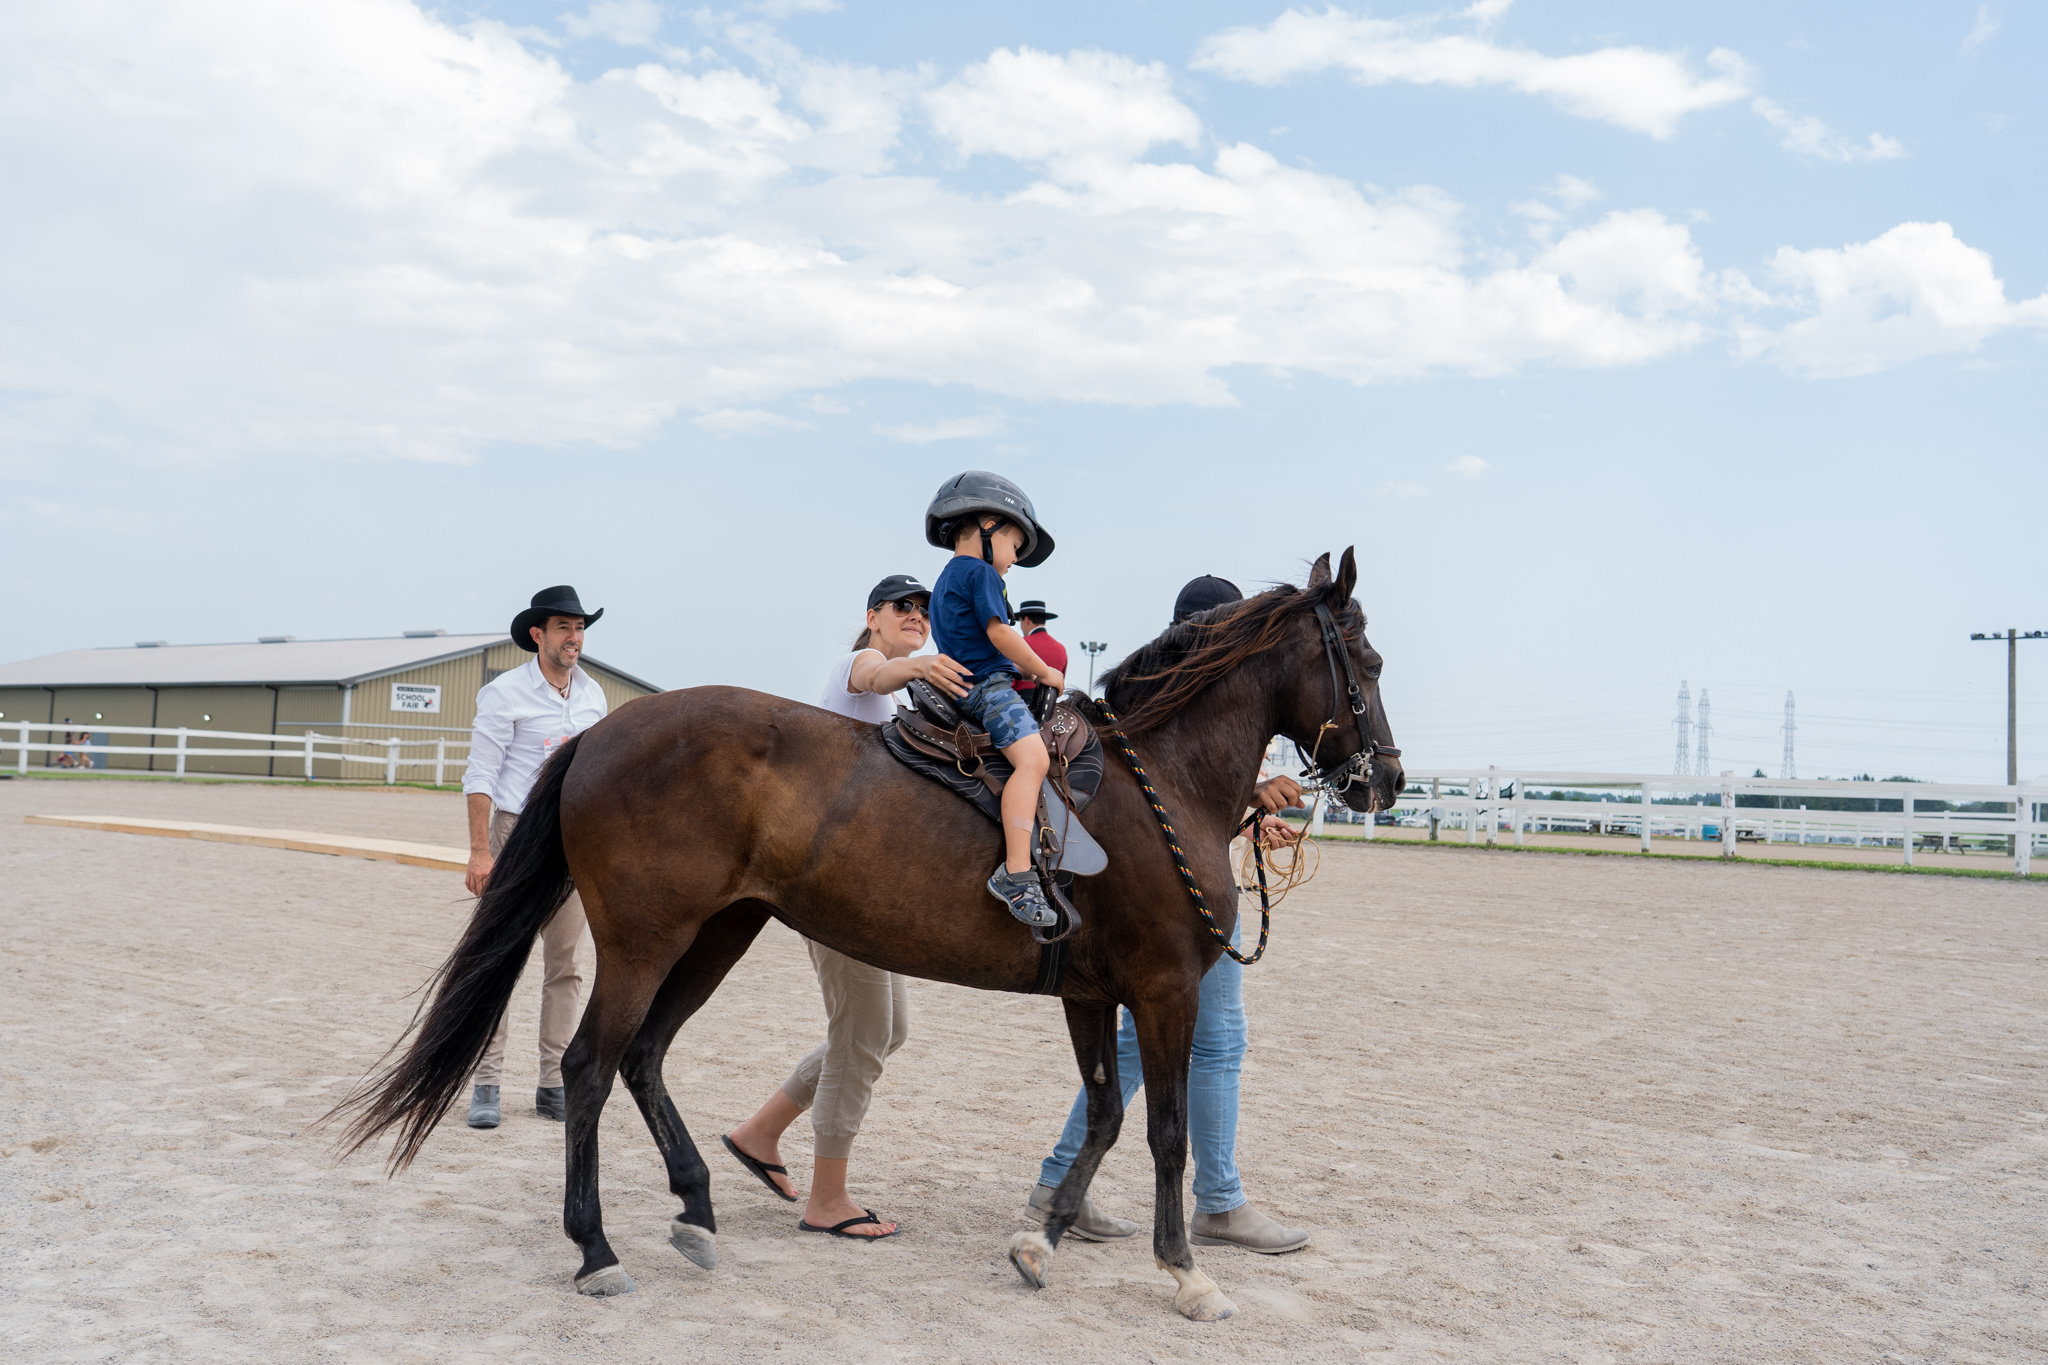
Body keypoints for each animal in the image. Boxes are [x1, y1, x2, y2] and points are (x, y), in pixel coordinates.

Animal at [335, 548, 1409, 1326]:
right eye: (1366, 662)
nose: (1388, 780)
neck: (1158, 783)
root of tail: (598, 732)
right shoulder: (1163, 991)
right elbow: (1167, 1132)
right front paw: (1186, 1273)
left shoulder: (1091, 993)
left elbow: (1105, 1116)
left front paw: (1042, 1241)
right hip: (647, 941)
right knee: (594, 1063)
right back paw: (597, 1248)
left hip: (718, 933)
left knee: (644, 1056)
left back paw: (696, 1204)